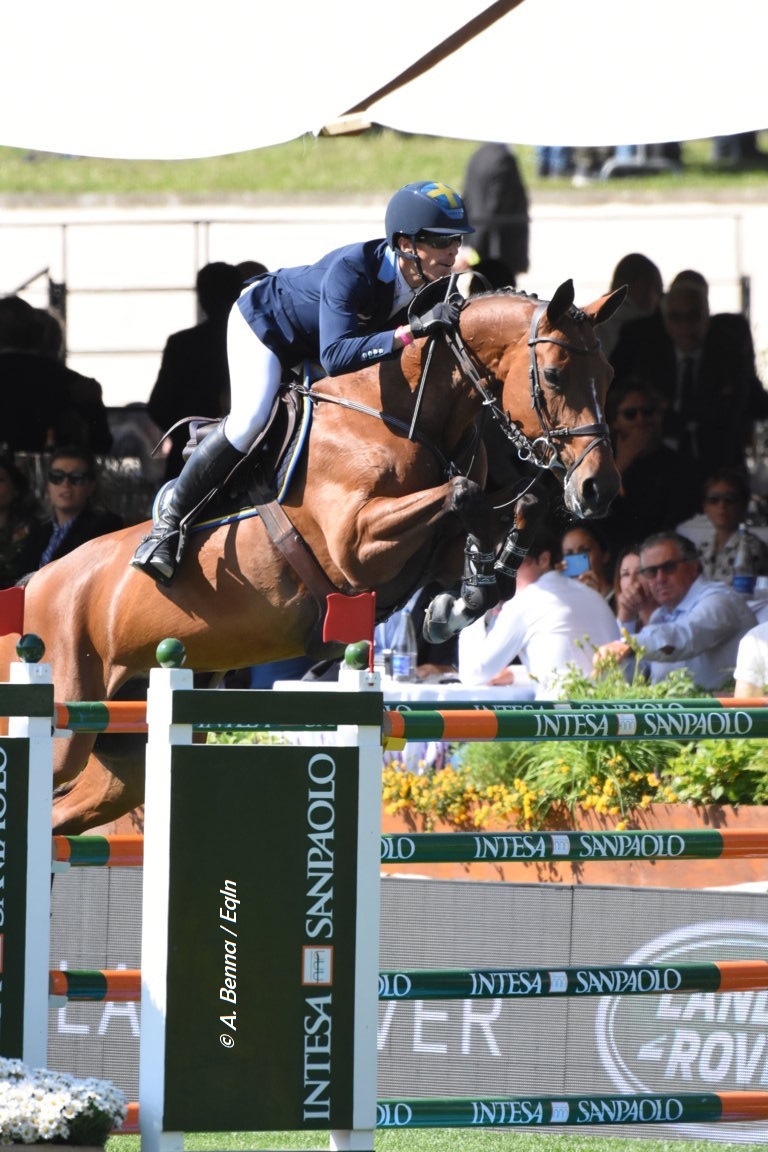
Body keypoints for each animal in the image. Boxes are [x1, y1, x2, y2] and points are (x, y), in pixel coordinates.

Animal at [0, 278, 625, 833]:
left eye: (609, 375)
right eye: (554, 373)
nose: (599, 490)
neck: (407, 418)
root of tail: (33, 584)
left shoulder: (429, 545)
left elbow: (508, 514)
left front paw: (460, 600)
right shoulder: (356, 545)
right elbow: (464, 495)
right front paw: (468, 585)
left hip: (120, 759)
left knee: (61, 817)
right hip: (67, 718)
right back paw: (160, 543)